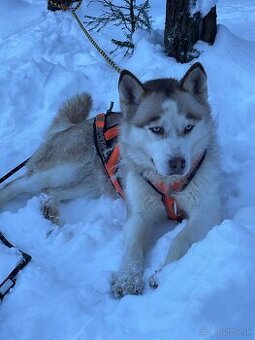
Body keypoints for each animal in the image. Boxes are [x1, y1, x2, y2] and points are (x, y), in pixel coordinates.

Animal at [0, 62, 221, 296]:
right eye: (156, 129)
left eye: (188, 128)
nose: (178, 164)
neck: (167, 184)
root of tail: (73, 126)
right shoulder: (138, 212)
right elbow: (133, 246)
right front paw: (128, 278)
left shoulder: (206, 211)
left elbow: (180, 240)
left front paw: (163, 273)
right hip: (63, 169)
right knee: (15, 184)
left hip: (92, 185)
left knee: (54, 191)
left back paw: (50, 208)